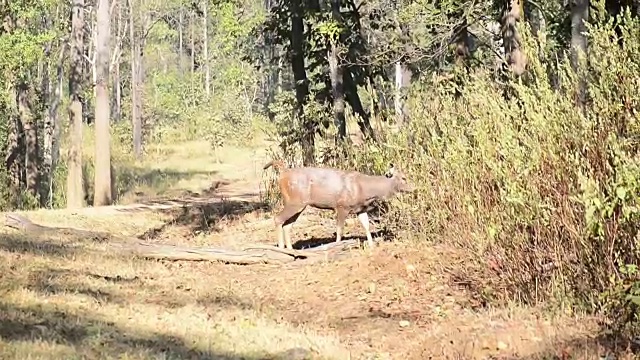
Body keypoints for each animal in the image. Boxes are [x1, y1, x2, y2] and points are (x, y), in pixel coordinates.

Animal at [262, 160, 416, 250]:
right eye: (404, 178)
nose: (414, 188)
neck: (364, 189)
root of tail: (283, 173)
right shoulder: (342, 206)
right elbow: (340, 230)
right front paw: (338, 246)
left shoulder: (360, 209)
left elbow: (366, 226)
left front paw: (372, 246)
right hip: (294, 201)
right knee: (278, 219)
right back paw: (282, 249)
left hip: (299, 204)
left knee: (287, 225)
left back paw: (291, 249)